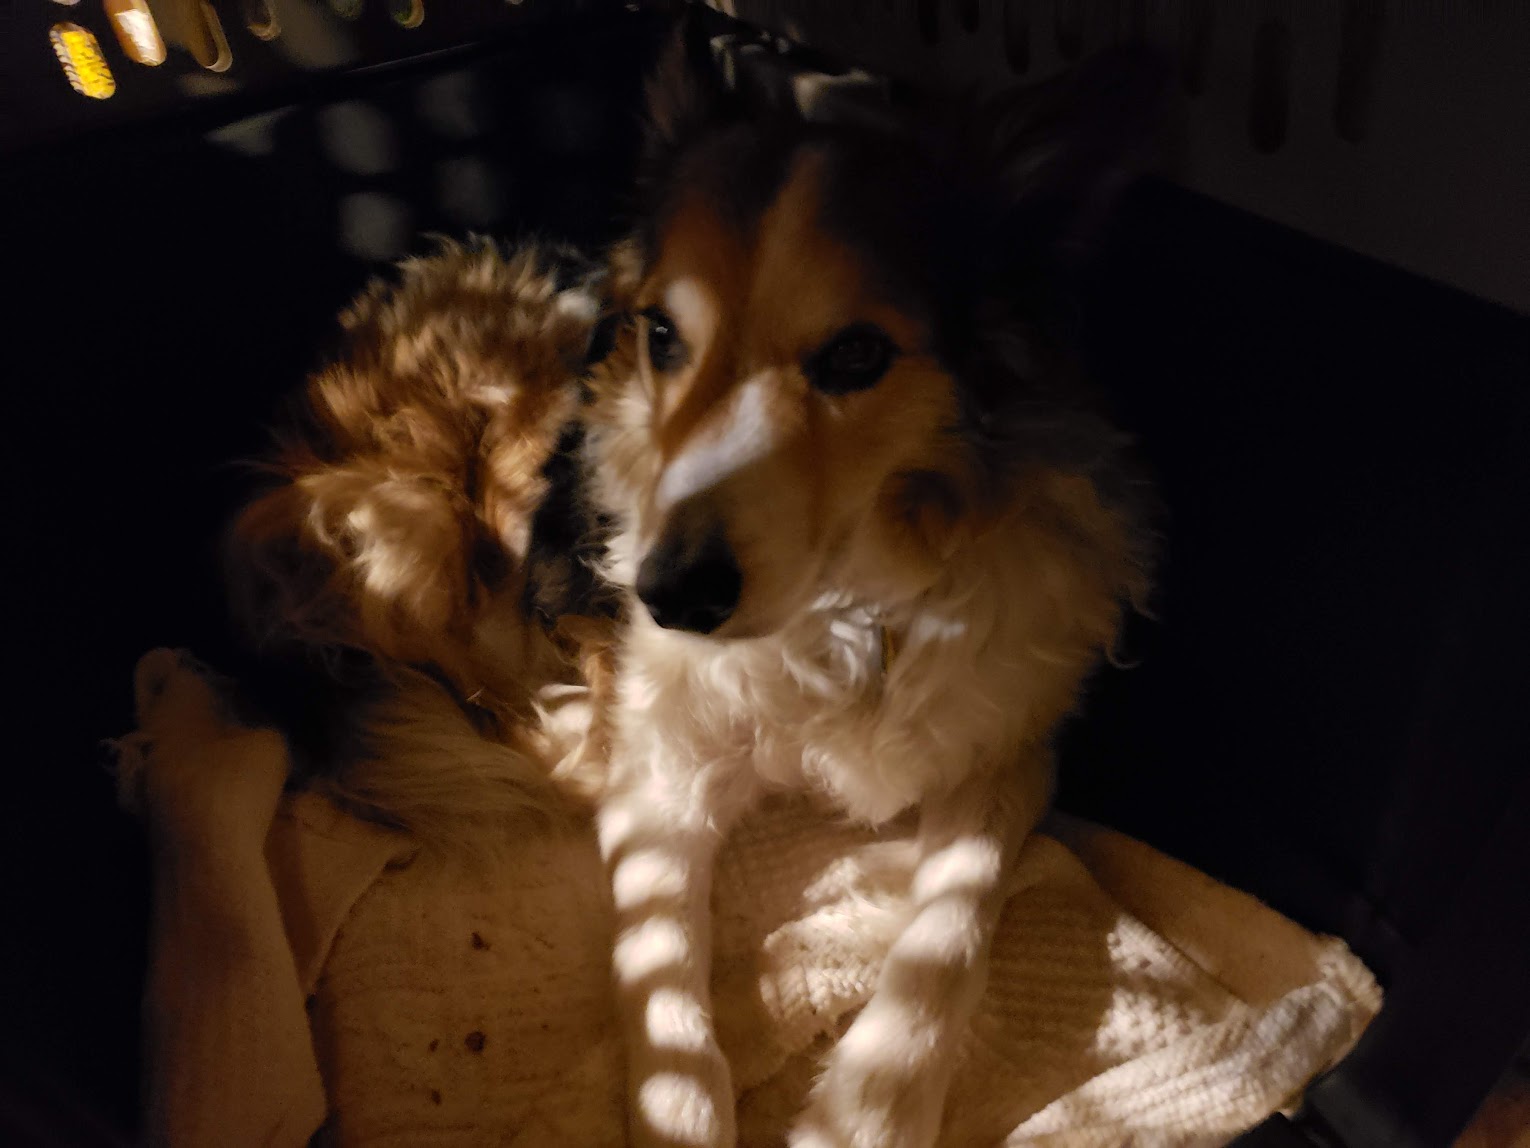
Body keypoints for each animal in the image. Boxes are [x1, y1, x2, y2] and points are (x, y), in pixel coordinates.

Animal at [580, 31, 1160, 1148]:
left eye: (856, 354)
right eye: (662, 335)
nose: (671, 594)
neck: (850, 603)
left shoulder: (1004, 753)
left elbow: (947, 937)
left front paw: (868, 1108)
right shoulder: (662, 763)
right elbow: (659, 965)